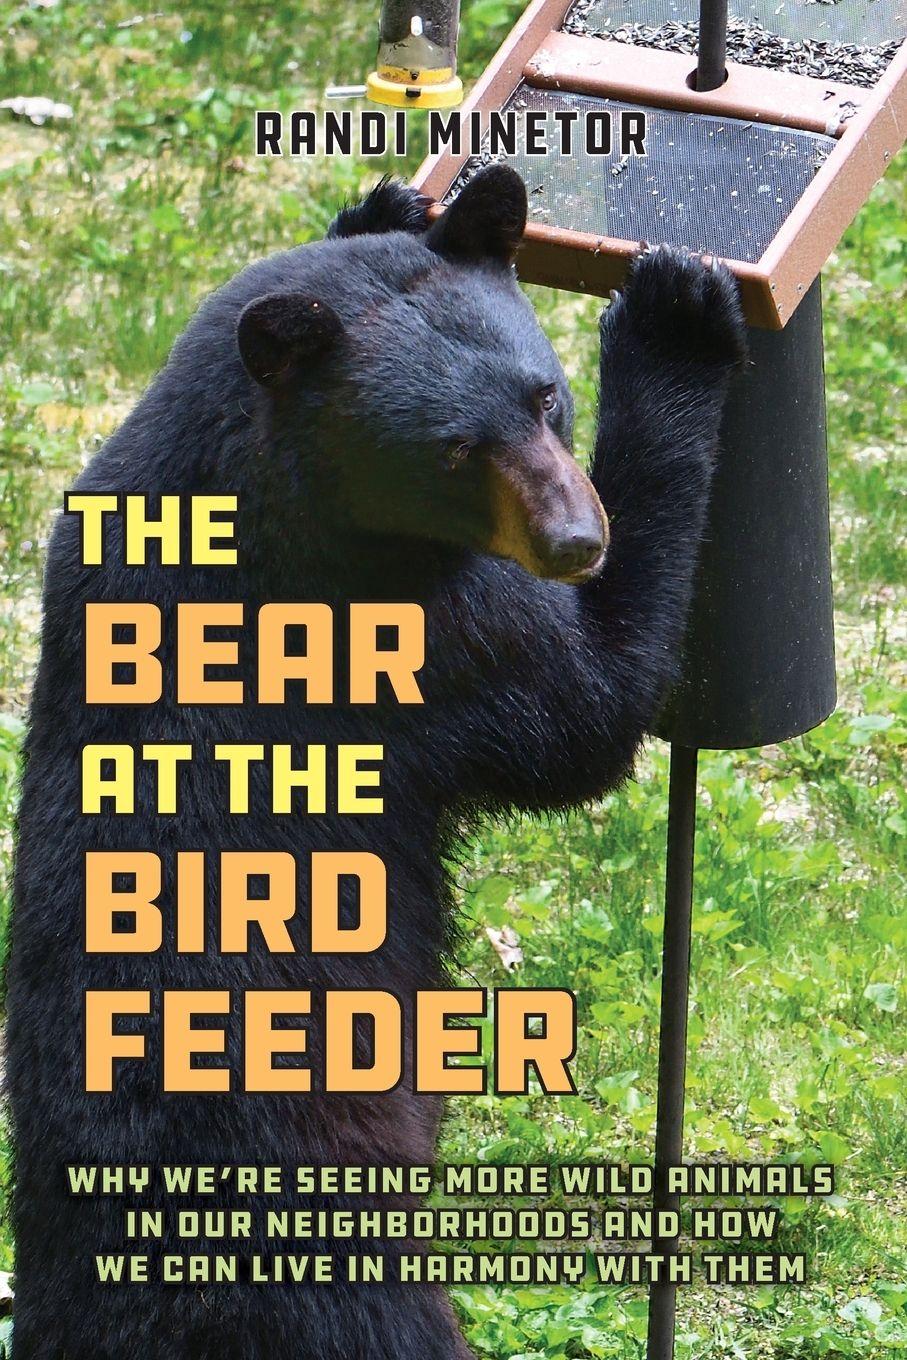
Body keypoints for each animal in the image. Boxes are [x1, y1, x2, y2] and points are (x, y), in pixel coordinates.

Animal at [6, 164, 746, 1359]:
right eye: (453, 448)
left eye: (544, 399)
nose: (577, 540)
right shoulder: (424, 632)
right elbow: (585, 705)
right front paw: (675, 312)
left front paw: (389, 203)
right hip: (346, 1276)